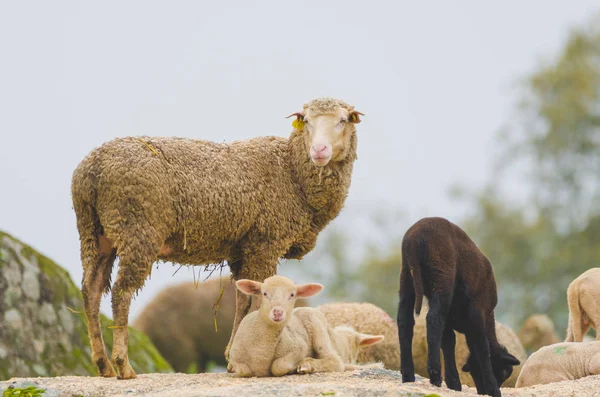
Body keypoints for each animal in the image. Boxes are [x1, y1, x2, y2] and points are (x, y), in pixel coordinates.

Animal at [227, 274, 382, 376]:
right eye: (264, 293)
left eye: (292, 295)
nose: (278, 312)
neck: (261, 350)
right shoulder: (235, 359)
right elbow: (243, 370)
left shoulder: (298, 347)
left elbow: (278, 366)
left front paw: (295, 366)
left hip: (317, 327)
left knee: (335, 361)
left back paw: (306, 365)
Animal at [398, 217, 520, 396]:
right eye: (505, 372)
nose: (482, 391)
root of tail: (415, 237)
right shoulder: (478, 310)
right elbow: (482, 347)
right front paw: (493, 389)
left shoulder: (450, 318)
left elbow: (449, 342)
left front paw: (454, 383)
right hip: (442, 275)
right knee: (433, 319)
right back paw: (434, 374)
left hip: (407, 276)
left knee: (405, 321)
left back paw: (408, 376)